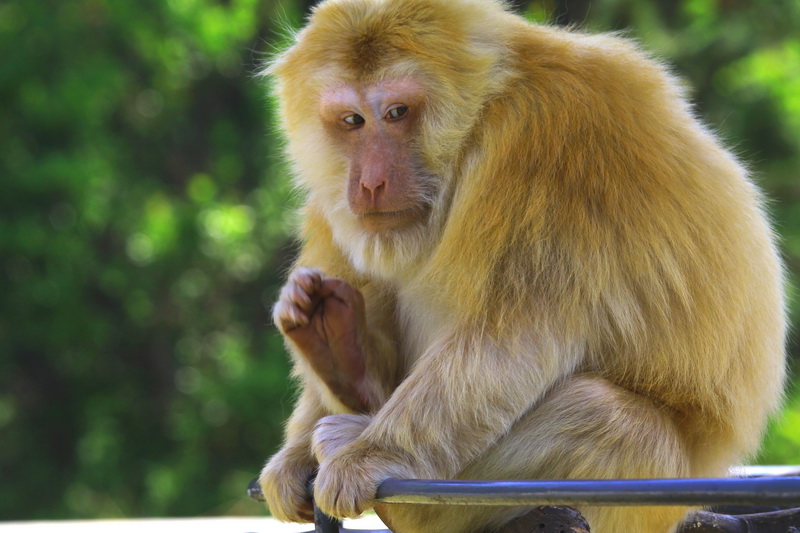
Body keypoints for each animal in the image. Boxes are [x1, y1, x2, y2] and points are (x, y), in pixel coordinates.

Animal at [258, 1, 788, 532]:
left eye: (397, 113)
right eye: (352, 120)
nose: (370, 183)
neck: (479, 122)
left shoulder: (545, 143)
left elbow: (516, 336)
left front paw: (376, 457)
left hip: (643, 502)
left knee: (608, 421)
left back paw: (405, 498)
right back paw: (341, 353)